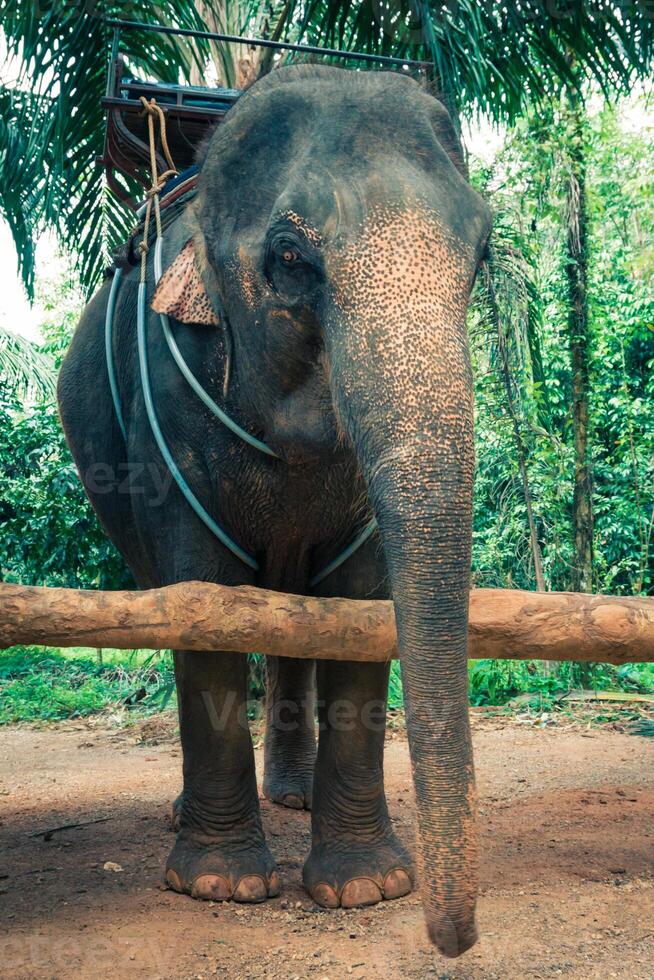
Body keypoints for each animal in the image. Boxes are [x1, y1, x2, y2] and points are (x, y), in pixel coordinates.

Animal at [59, 63, 492, 956]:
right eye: (291, 258)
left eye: (484, 253)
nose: (456, 940)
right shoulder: (171, 403)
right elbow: (207, 608)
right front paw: (222, 885)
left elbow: (361, 612)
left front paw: (365, 887)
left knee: (299, 619)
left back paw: (291, 798)